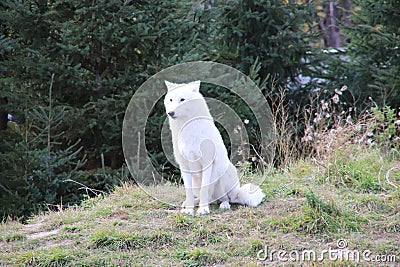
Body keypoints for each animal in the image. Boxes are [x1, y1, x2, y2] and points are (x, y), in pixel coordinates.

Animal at [163, 79, 266, 216]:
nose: (170, 113)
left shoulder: (207, 163)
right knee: (206, 198)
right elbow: (188, 192)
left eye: (182, 99)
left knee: (226, 199)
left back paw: (223, 205)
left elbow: (204, 189)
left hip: (223, 176)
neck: (187, 129)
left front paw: (203, 210)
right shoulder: (184, 166)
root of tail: (237, 191)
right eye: (171, 100)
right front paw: (189, 210)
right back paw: (193, 203)